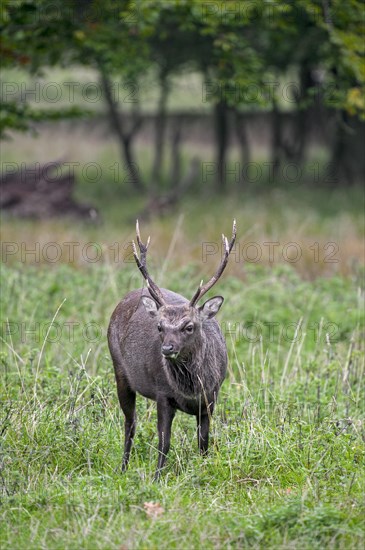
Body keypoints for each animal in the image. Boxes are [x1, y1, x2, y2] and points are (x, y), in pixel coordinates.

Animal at [106, 222, 235, 480]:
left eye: (189, 326)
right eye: (160, 326)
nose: (167, 348)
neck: (191, 389)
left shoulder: (211, 398)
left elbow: (203, 443)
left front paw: (203, 471)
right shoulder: (162, 394)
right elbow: (163, 443)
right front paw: (157, 478)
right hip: (120, 371)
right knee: (129, 424)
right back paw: (123, 468)